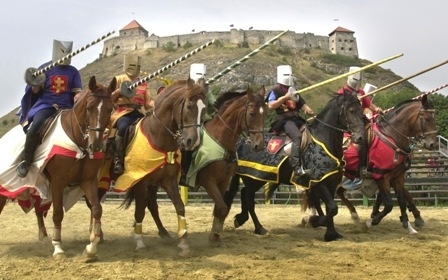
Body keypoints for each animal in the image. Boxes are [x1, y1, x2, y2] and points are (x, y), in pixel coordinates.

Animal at [0, 75, 114, 258]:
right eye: (89, 107)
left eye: (110, 109)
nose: (95, 145)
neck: (78, 141)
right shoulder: (58, 183)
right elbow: (58, 213)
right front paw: (58, 247)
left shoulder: (88, 181)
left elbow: (97, 209)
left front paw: (91, 247)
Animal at [97, 78, 206, 256]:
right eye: (189, 106)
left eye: (205, 109)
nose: (192, 141)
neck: (157, 135)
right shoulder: (140, 182)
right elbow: (140, 210)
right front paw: (139, 242)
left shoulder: (167, 181)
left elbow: (179, 206)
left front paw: (183, 243)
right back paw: (98, 235)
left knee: (152, 206)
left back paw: (163, 233)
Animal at [141, 85, 266, 245]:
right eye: (251, 113)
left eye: (265, 113)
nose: (258, 145)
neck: (221, 139)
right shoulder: (208, 181)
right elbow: (222, 207)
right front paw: (214, 236)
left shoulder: (223, 182)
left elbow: (219, 209)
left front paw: (215, 234)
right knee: (151, 205)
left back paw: (163, 233)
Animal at [224, 91, 368, 242]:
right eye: (351, 110)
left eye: (361, 111)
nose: (360, 138)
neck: (324, 141)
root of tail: (242, 142)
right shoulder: (318, 182)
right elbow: (333, 208)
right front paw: (314, 221)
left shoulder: (332, 183)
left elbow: (331, 208)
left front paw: (331, 233)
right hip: (254, 176)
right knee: (248, 197)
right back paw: (258, 227)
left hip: (257, 177)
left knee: (245, 193)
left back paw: (245, 221)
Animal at [336, 94, 438, 234]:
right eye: (426, 118)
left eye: (434, 118)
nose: (432, 144)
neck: (392, 137)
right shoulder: (382, 177)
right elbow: (389, 204)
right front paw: (371, 221)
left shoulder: (398, 177)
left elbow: (401, 200)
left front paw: (408, 224)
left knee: (339, 192)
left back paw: (354, 214)